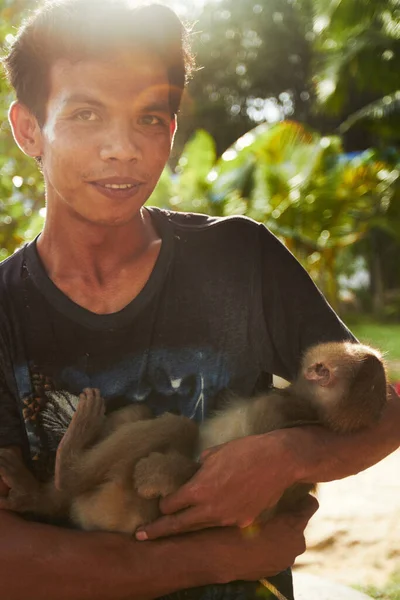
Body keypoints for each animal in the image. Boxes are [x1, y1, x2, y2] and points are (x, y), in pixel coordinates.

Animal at [0, 340, 390, 532]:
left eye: (323, 369)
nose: (314, 367)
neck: (305, 406)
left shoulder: (273, 412)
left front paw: (158, 476)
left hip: (116, 506)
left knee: (175, 428)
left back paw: (68, 467)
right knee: (141, 416)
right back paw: (35, 496)